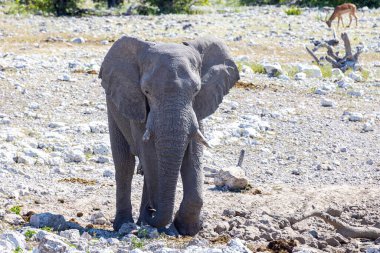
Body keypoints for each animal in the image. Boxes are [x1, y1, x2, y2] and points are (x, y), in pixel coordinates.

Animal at [99, 35, 239, 235]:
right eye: (146, 91)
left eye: (196, 90)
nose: (152, 210)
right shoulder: (135, 102)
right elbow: (149, 153)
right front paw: (156, 220)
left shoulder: (198, 106)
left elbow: (193, 152)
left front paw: (187, 228)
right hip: (113, 105)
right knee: (124, 164)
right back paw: (125, 224)